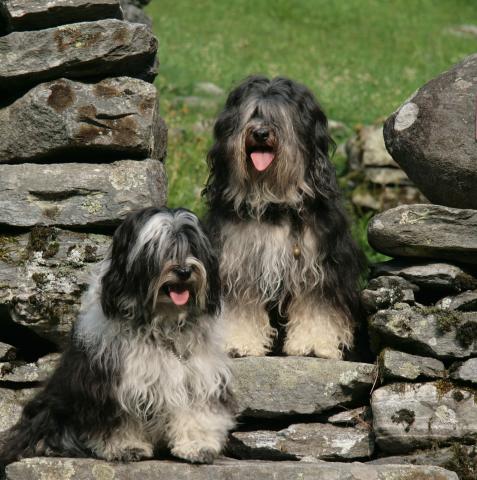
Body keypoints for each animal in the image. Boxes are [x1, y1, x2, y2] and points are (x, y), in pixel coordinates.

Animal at [0, 206, 234, 464]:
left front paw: (197, 446)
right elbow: (121, 417)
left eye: (193, 246)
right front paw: (125, 446)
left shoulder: (199, 377)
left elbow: (198, 411)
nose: (184, 271)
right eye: (157, 247)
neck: (162, 323)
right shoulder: (113, 381)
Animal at [203, 75, 362, 360]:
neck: (274, 204)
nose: (260, 133)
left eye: (279, 117)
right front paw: (238, 342)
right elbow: (238, 306)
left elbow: (316, 307)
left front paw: (313, 344)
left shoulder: (320, 265)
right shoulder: (237, 264)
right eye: (252, 113)